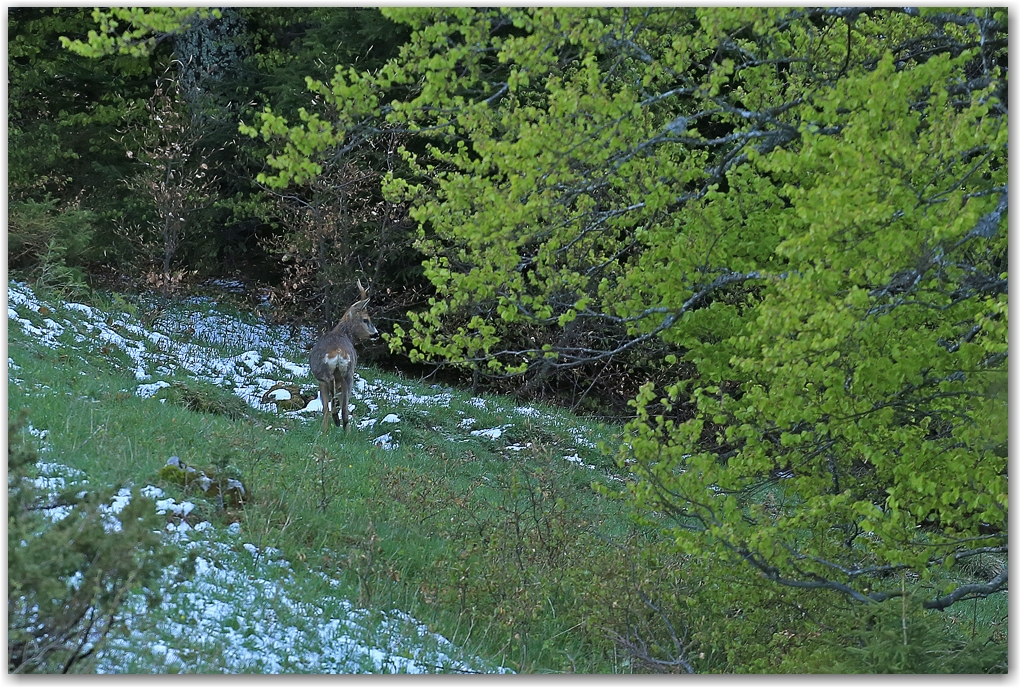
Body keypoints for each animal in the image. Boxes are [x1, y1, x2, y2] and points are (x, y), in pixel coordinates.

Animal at [310, 277, 379, 428]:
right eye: (366, 319)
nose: (376, 334)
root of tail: (338, 353)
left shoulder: (320, 381)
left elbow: (325, 408)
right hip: (347, 375)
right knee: (345, 411)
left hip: (331, 374)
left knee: (333, 403)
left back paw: (335, 420)